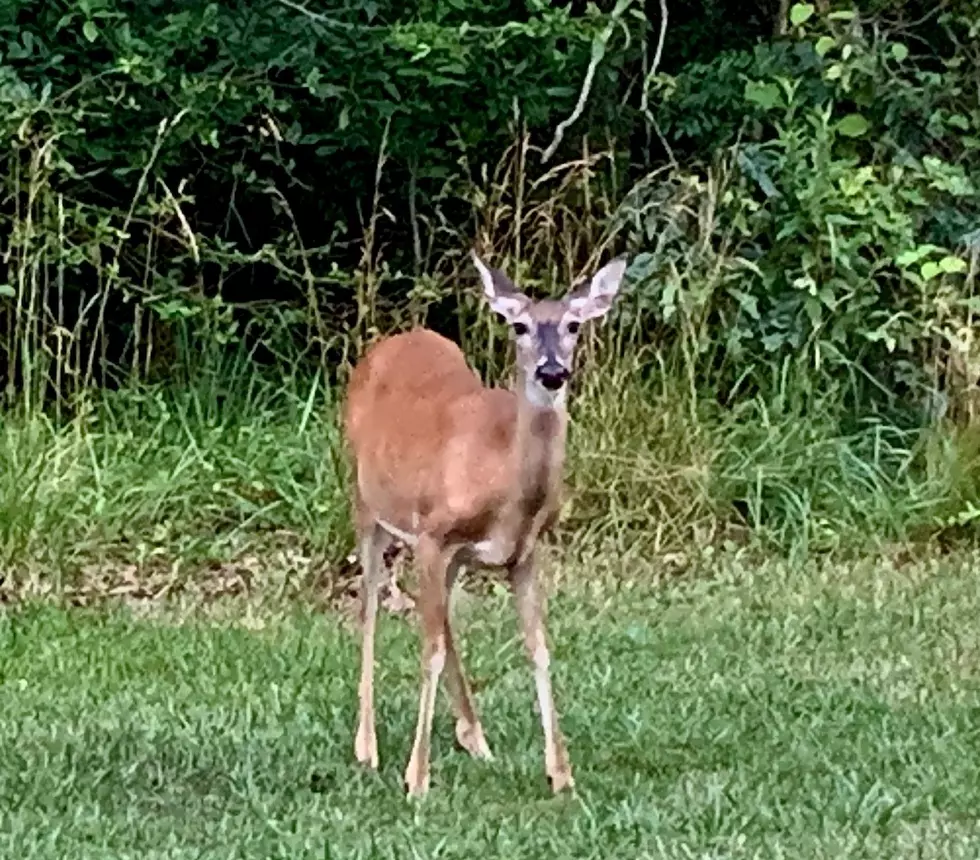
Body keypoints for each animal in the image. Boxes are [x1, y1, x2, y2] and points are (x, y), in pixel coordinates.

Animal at [342, 249, 628, 800]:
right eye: (518, 325)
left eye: (574, 325)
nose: (552, 371)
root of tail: (390, 342)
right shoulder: (433, 534)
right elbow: (429, 651)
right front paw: (417, 778)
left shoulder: (525, 552)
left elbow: (539, 648)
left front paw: (561, 774)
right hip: (368, 505)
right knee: (368, 610)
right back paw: (366, 748)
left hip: (444, 553)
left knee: (437, 616)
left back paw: (473, 735)